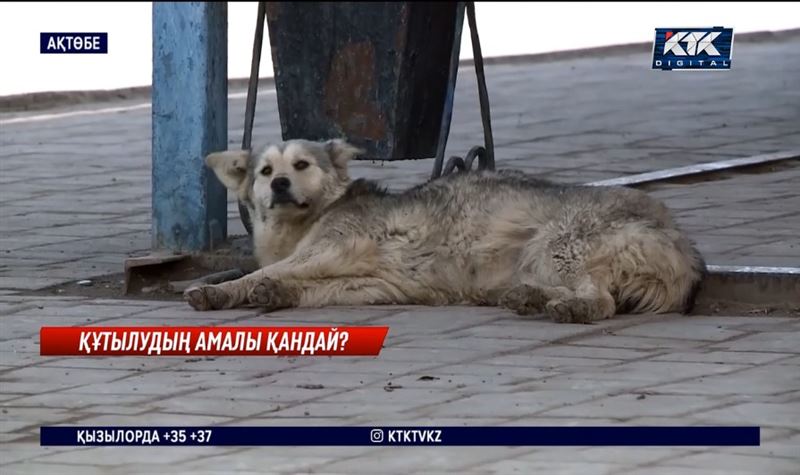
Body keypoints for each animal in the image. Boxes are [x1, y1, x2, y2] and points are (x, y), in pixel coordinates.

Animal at [183, 138, 708, 324]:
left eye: (300, 165)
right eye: (265, 171)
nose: (280, 184)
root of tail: (682, 243)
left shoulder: (332, 248)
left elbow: (258, 274)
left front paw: (222, 291)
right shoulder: (373, 285)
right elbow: (297, 287)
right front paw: (275, 291)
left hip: (555, 245)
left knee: (601, 301)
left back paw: (568, 309)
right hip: (541, 260)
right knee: (585, 292)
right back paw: (530, 299)